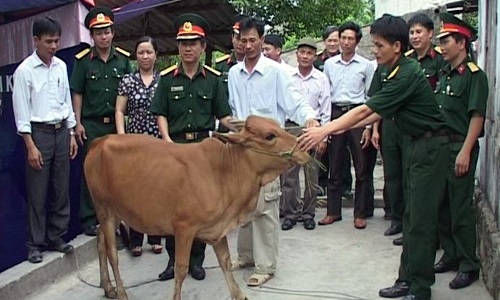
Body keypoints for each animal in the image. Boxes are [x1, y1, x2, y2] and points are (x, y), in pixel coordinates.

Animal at [85, 115, 312, 300]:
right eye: (270, 135)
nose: (303, 149)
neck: (224, 170)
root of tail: (100, 141)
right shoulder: (184, 228)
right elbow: (181, 269)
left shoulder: (218, 229)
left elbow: (225, 261)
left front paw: (239, 294)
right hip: (104, 208)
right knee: (112, 253)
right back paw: (121, 292)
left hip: (113, 212)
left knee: (100, 241)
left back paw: (108, 287)